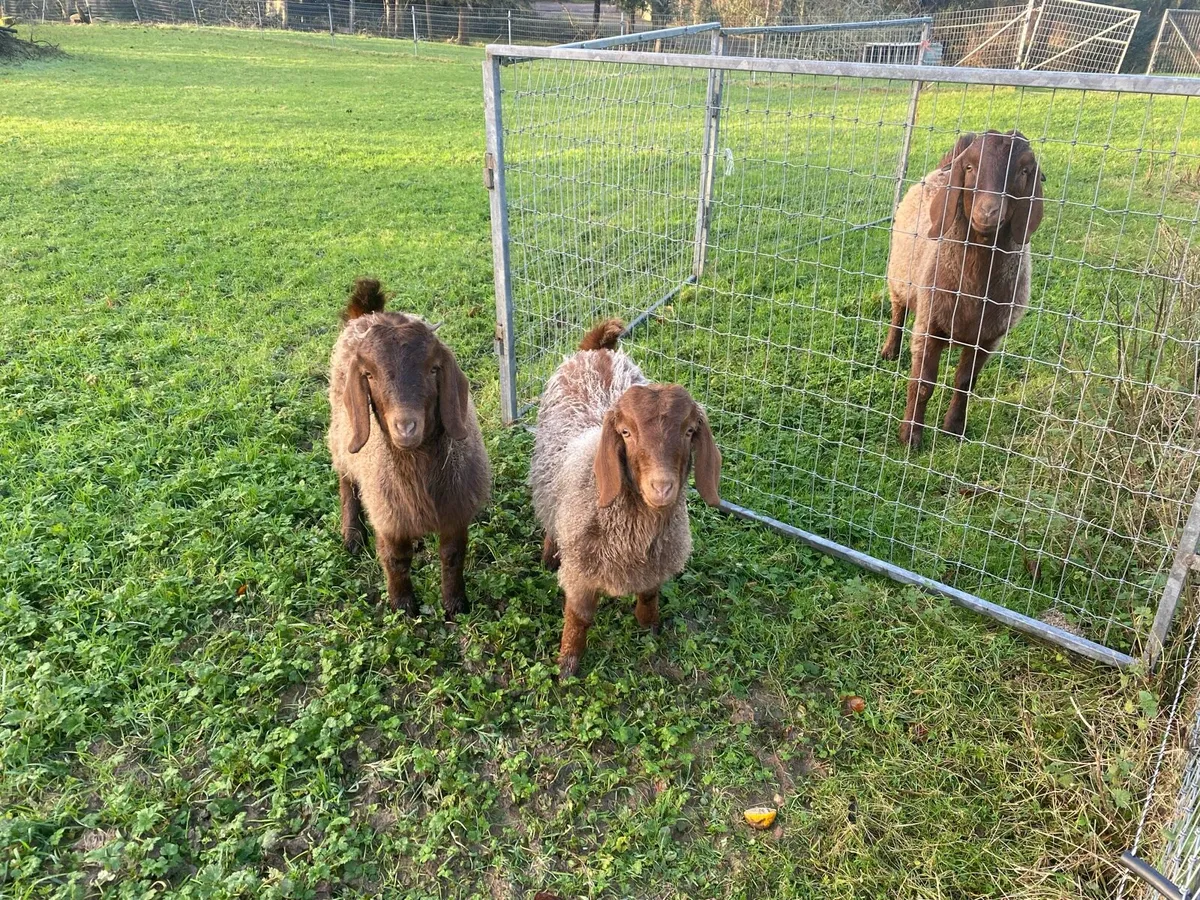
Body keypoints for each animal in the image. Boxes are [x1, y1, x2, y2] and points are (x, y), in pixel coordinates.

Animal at [327, 278, 491, 618]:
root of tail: (368, 311)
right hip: (342, 438)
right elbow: (395, 560)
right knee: (346, 481)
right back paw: (352, 535)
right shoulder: (387, 515)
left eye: (433, 369)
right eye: (369, 374)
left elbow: (453, 557)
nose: (406, 426)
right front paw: (403, 607)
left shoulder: (455, 512)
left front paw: (455, 605)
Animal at [530, 319, 722, 678]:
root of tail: (597, 350)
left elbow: (649, 596)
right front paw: (567, 666)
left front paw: (650, 627)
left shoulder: (655, 564)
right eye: (626, 433)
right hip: (546, 479)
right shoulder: (580, 572)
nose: (662, 487)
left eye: (690, 431)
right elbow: (579, 617)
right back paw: (549, 554)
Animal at [882, 130, 1045, 449]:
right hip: (899, 276)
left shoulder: (988, 338)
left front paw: (954, 428)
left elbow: (965, 382)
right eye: (969, 168)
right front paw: (910, 436)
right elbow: (923, 384)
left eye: (1024, 171)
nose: (989, 211)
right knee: (898, 311)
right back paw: (890, 350)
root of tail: (942, 169)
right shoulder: (929, 325)